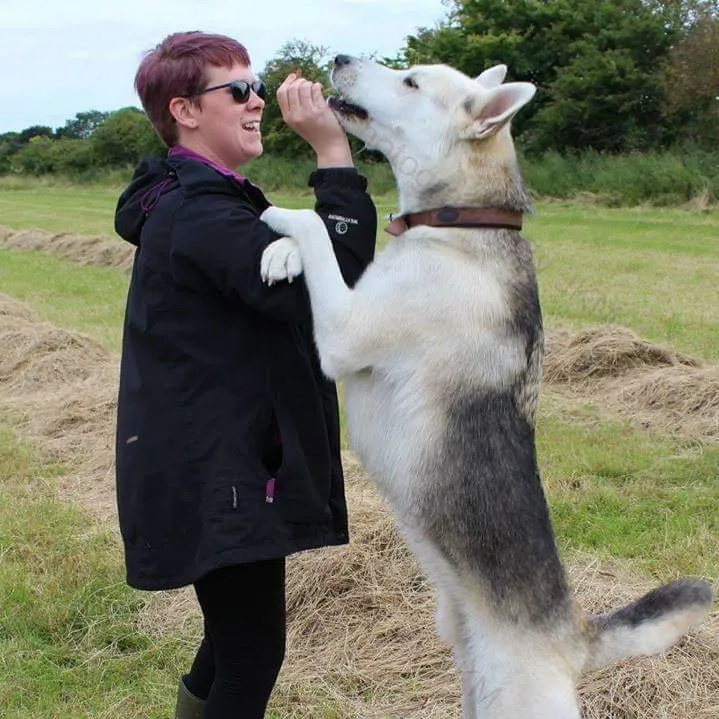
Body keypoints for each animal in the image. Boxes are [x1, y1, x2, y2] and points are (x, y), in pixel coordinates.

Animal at [259, 57, 714, 718]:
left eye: (411, 82)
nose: (341, 59)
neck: (459, 222)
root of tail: (575, 638)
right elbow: (320, 244)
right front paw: (279, 254)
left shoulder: (343, 331)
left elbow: (318, 231)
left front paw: (281, 219)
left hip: (512, 699)